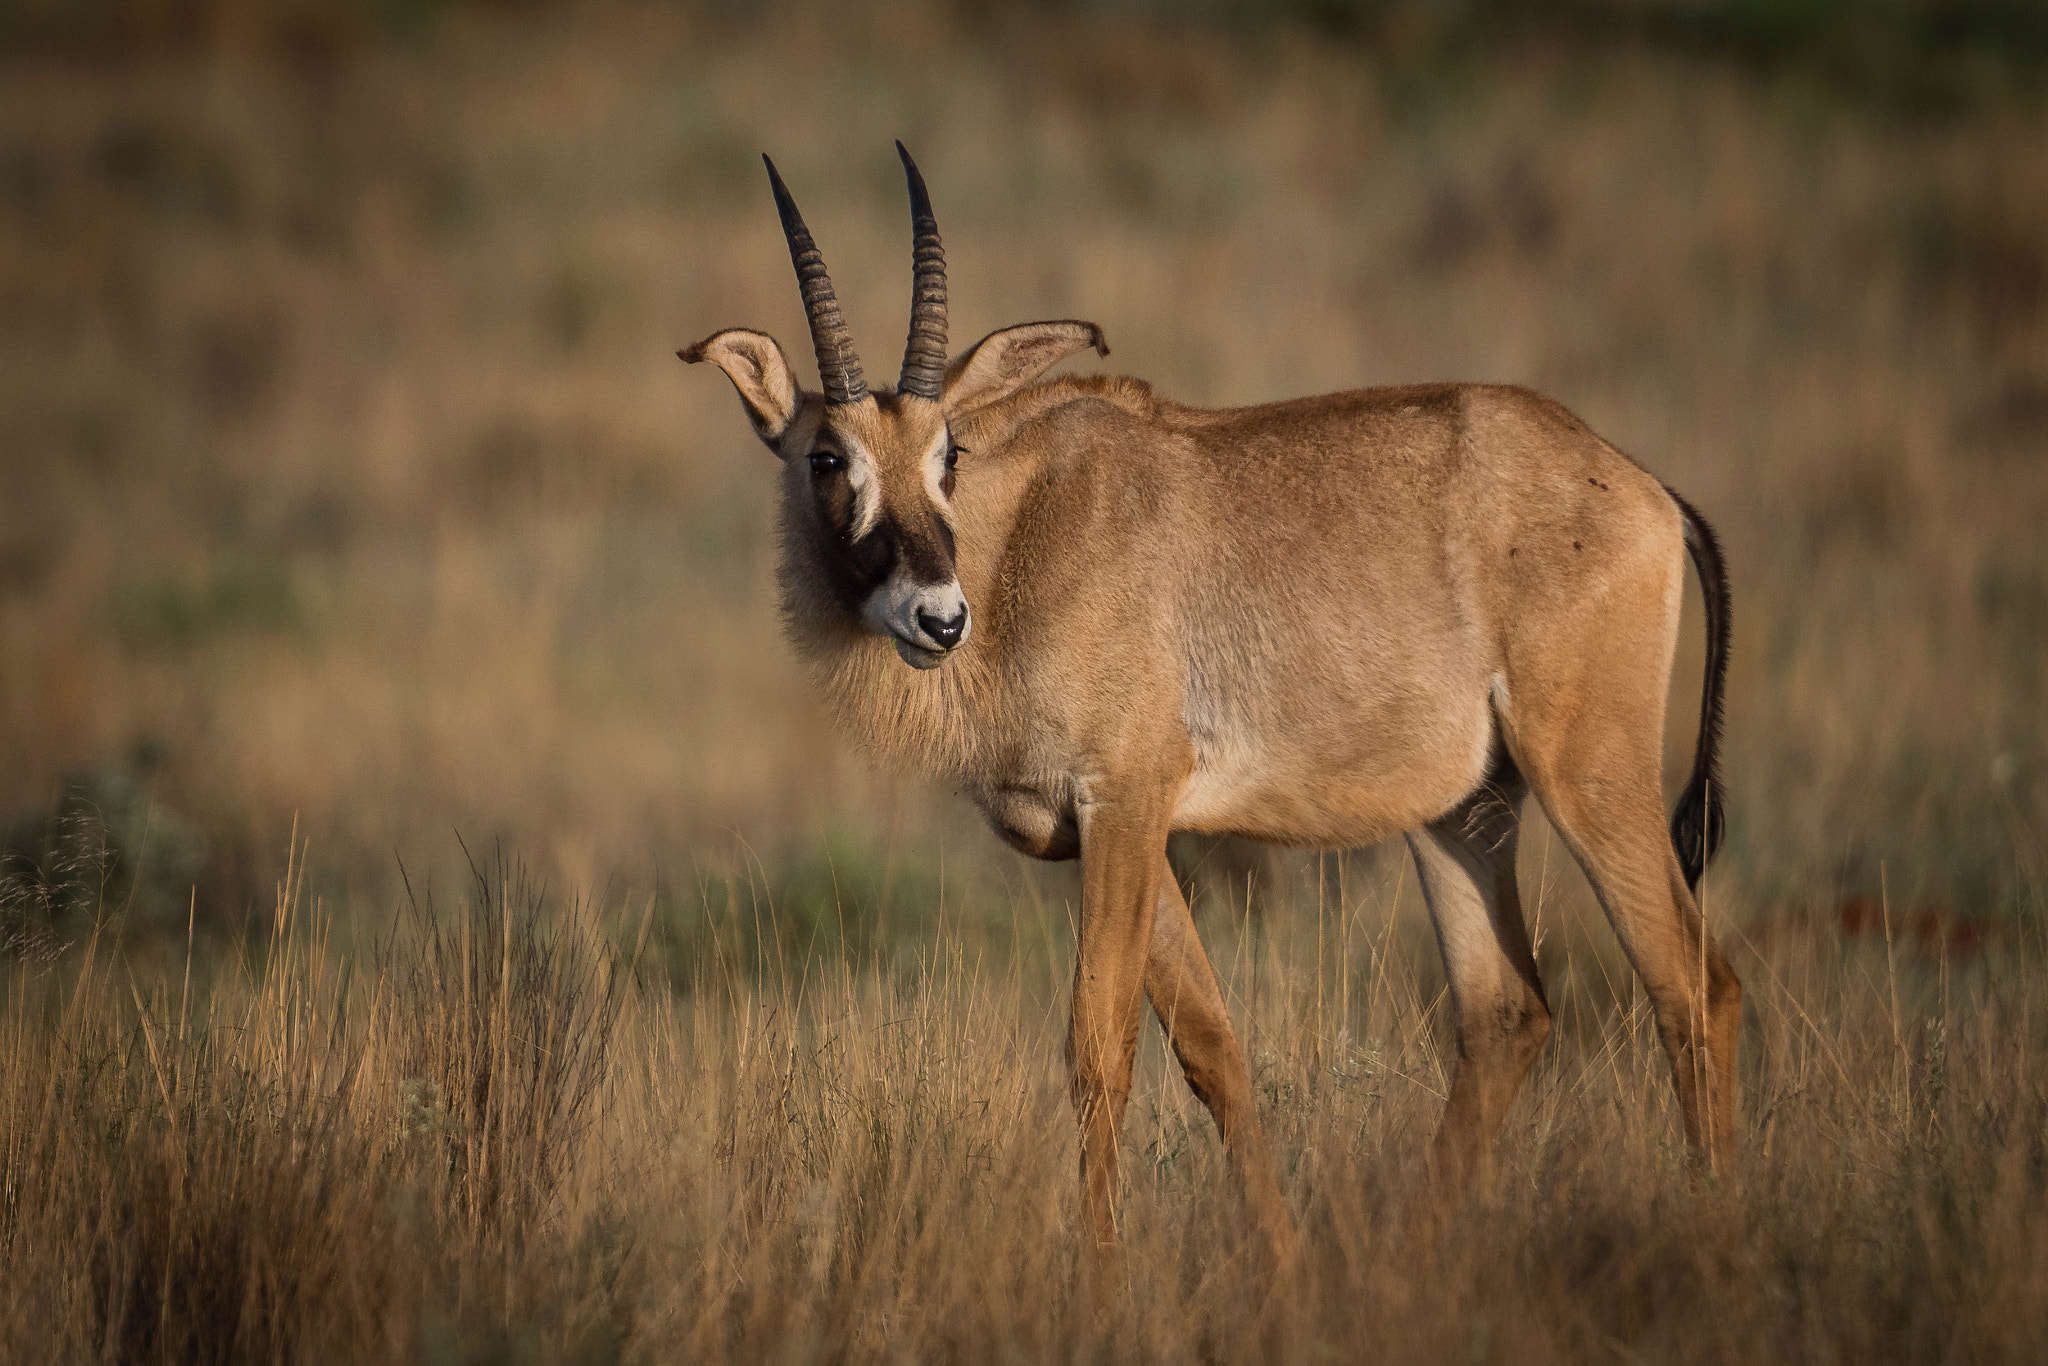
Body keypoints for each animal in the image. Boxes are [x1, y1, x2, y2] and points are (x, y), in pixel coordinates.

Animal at [684, 144, 1744, 1277]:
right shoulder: (1105, 832)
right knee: (1505, 1011)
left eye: (947, 456)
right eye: (826, 458)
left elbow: (1099, 1050)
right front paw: (1280, 1268)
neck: (1020, 537)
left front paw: (1101, 1284)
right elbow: (1210, 1046)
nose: (938, 616)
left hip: (1589, 774)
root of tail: (1645, 490)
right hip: (1465, 811)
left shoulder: (1124, 801)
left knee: (1690, 984)